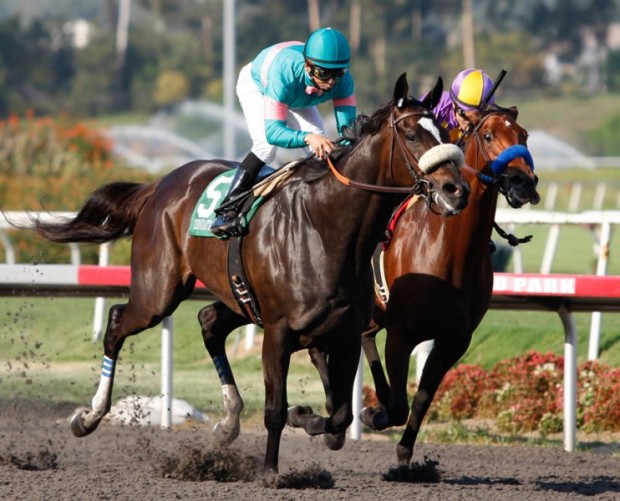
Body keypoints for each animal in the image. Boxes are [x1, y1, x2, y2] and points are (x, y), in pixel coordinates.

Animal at [18, 74, 470, 472]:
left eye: (446, 131)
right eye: (411, 133)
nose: (457, 190)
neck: (328, 226)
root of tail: (159, 185)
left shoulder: (342, 333)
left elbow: (340, 415)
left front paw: (309, 419)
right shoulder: (279, 331)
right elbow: (275, 410)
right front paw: (271, 470)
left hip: (235, 294)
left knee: (208, 322)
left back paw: (228, 421)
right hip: (158, 292)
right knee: (117, 323)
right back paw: (89, 417)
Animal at [358, 104, 536, 464]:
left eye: (524, 135)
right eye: (488, 135)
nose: (524, 181)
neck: (449, 248)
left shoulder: (455, 340)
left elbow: (421, 399)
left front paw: (404, 454)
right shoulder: (401, 334)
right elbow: (398, 406)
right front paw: (374, 415)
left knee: (365, 335)